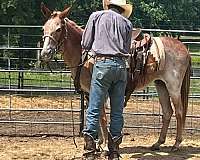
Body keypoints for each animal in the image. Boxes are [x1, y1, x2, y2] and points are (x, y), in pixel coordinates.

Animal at [39, 4, 191, 152]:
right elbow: (95, 115)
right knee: (167, 112)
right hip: (161, 85)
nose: (45, 53)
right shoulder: (89, 92)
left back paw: (176, 144)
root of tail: (184, 48)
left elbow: (102, 117)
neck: (85, 56)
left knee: (179, 112)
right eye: (43, 28)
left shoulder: (98, 89)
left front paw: (105, 145)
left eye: (58, 29)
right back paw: (158, 143)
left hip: (173, 87)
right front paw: (98, 143)